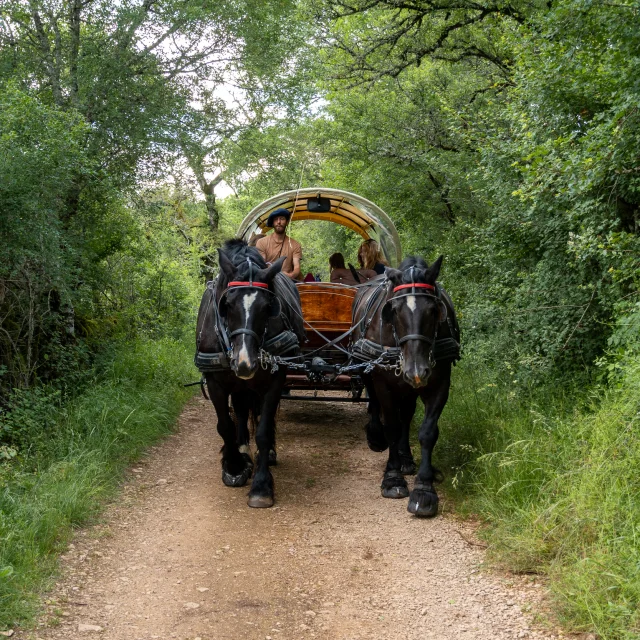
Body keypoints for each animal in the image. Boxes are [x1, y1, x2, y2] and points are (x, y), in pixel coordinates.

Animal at [195, 238, 304, 508]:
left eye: (267, 307)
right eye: (227, 304)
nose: (245, 363)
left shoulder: (275, 380)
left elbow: (263, 431)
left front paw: (262, 486)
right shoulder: (215, 381)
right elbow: (225, 425)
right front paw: (234, 466)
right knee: (241, 412)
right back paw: (242, 450)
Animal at [350, 255, 460, 516]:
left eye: (433, 310)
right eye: (395, 311)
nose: (416, 370)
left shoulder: (440, 383)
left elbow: (427, 432)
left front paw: (424, 488)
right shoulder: (383, 382)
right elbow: (391, 425)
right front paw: (392, 477)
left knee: (407, 416)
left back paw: (407, 459)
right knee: (375, 404)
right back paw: (377, 438)